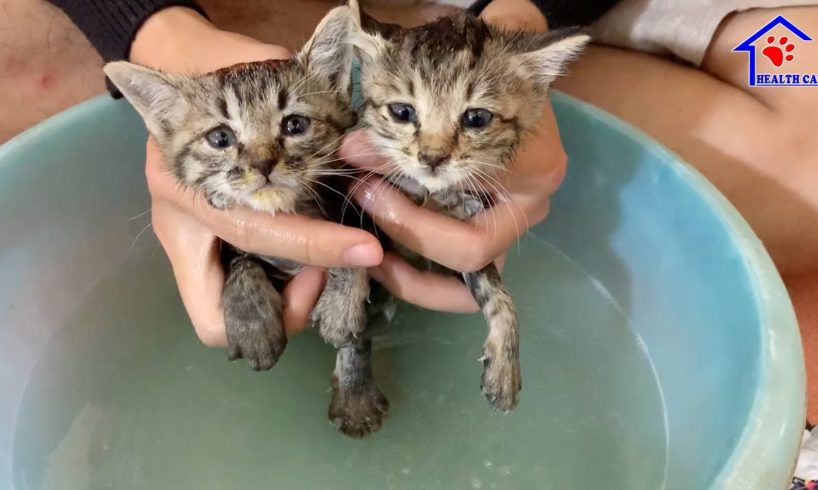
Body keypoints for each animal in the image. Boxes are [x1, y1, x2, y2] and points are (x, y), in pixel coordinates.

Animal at [103, 6, 388, 436]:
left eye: (294, 125)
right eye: (220, 138)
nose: (263, 163)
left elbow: (360, 249)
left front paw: (353, 375)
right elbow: (240, 258)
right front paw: (250, 315)